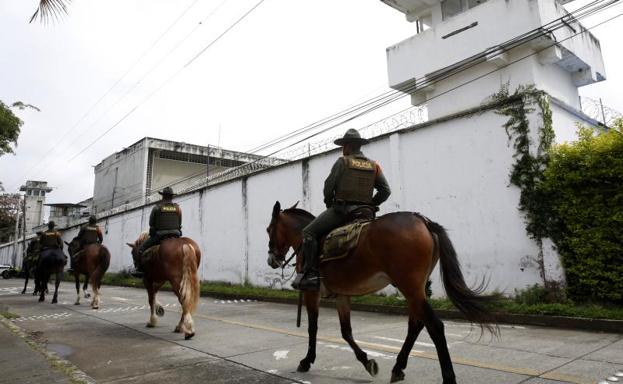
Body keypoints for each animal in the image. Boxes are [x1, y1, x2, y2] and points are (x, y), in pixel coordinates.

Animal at [266, 201, 500, 384]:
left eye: (269, 229)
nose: (272, 260)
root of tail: (422, 221)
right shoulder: (342, 295)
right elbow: (346, 331)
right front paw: (367, 361)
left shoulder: (311, 294)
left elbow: (312, 328)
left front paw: (306, 361)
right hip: (415, 289)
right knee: (416, 324)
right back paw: (398, 367)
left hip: (410, 287)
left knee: (434, 326)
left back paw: (448, 377)